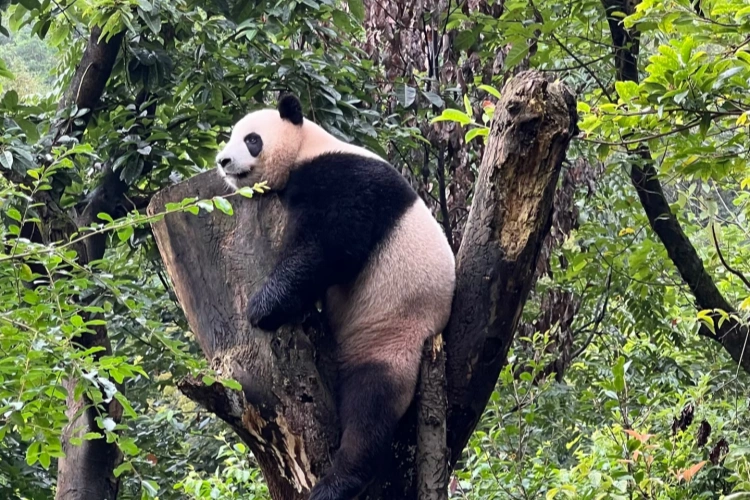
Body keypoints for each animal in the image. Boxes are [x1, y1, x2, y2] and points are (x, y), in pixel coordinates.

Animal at [215, 94, 456, 500]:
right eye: (231, 136)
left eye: (251, 140)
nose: (223, 161)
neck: (307, 147)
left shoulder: (346, 179)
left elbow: (332, 246)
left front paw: (263, 307)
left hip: (393, 337)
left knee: (370, 407)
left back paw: (338, 482)